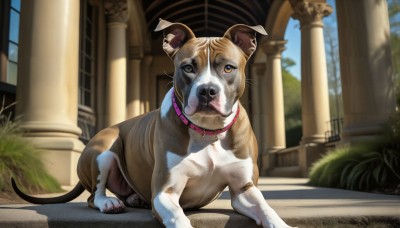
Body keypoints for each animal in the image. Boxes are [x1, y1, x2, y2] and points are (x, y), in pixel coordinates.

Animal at [11, 19, 294, 228]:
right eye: (188, 68)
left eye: (228, 68)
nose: (207, 91)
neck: (208, 132)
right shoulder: (165, 192)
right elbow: (179, 218)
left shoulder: (244, 189)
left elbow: (267, 210)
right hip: (104, 149)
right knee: (93, 195)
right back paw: (109, 203)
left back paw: (135, 198)